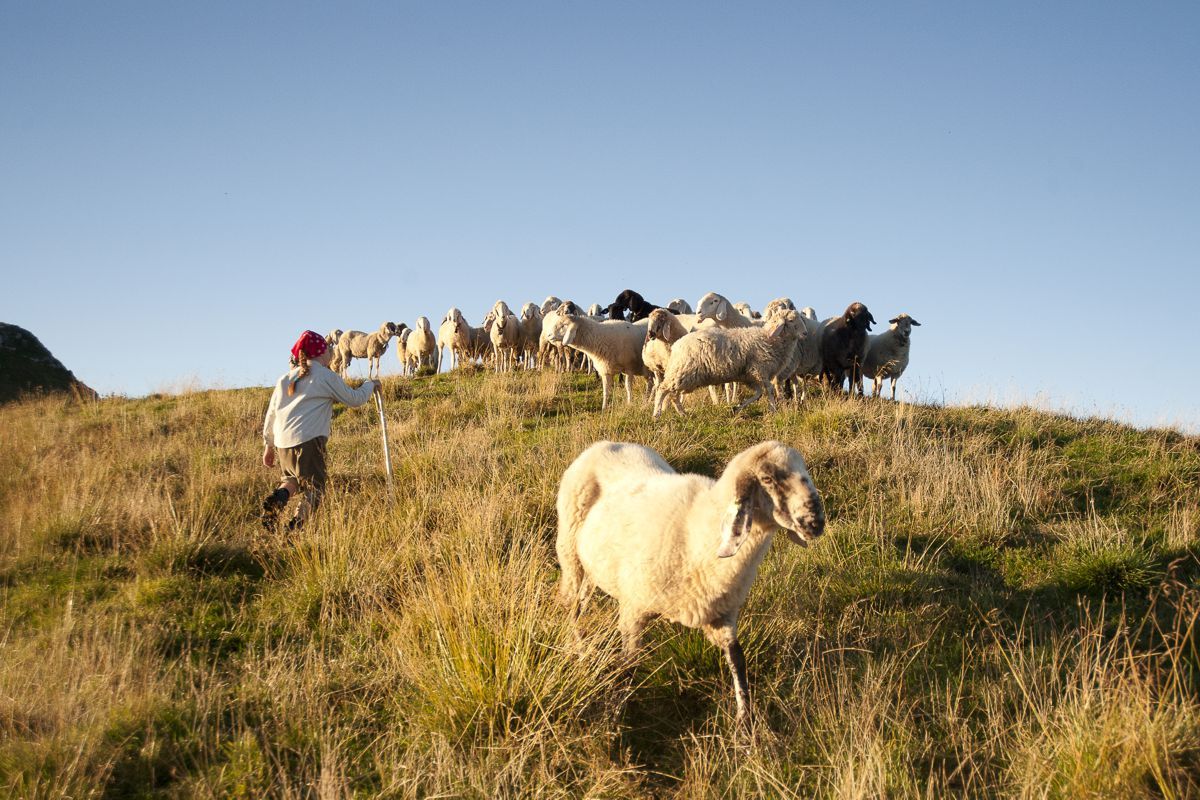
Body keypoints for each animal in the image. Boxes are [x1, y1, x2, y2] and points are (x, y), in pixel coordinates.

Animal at [554, 441, 825, 729]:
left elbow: (737, 658)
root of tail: (605, 444)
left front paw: (745, 720)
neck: (699, 535)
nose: (816, 522)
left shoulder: (722, 613)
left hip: (591, 565)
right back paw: (579, 650)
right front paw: (614, 720)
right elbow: (628, 666)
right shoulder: (633, 610)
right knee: (571, 606)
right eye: (767, 479)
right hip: (569, 554)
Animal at [652, 309, 801, 419]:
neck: (771, 339)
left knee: (673, 395)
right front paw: (773, 410)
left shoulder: (750, 376)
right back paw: (657, 414)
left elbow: (758, 393)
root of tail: (677, 345)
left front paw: (738, 407)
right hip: (682, 372)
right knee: (663, 389)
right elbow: (769, 390)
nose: (804, 333)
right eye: (791, 320)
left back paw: (683, 414)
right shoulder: (760, 370)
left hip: (684, 376)